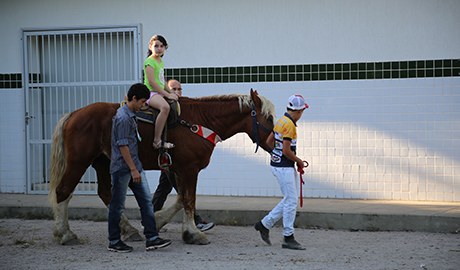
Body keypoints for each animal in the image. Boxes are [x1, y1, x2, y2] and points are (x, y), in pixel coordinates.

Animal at [48, 89, 274, 246]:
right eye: (269, 118)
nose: (277, 143)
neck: (200, 121)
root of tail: (74, 114)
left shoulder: (178, 170)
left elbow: (182, 199)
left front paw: (158, 221)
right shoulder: (189, 169)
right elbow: (189, 200)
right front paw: (193, 234)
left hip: (102, 162)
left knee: (105, 193)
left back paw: (129, 230)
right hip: (79, 161)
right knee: (63, 191)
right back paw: (65, 234)